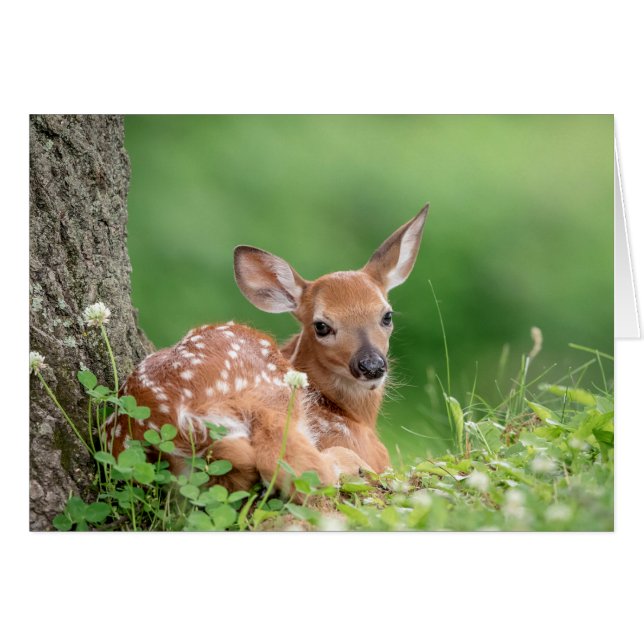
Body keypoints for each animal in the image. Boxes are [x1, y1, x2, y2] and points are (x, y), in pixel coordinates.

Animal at [107, 204, 428, 496]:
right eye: (321, 326)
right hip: (272, 395)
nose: (371, 365)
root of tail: (179, 421)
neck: (351, 414)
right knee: (296, 468)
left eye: (387, 315)